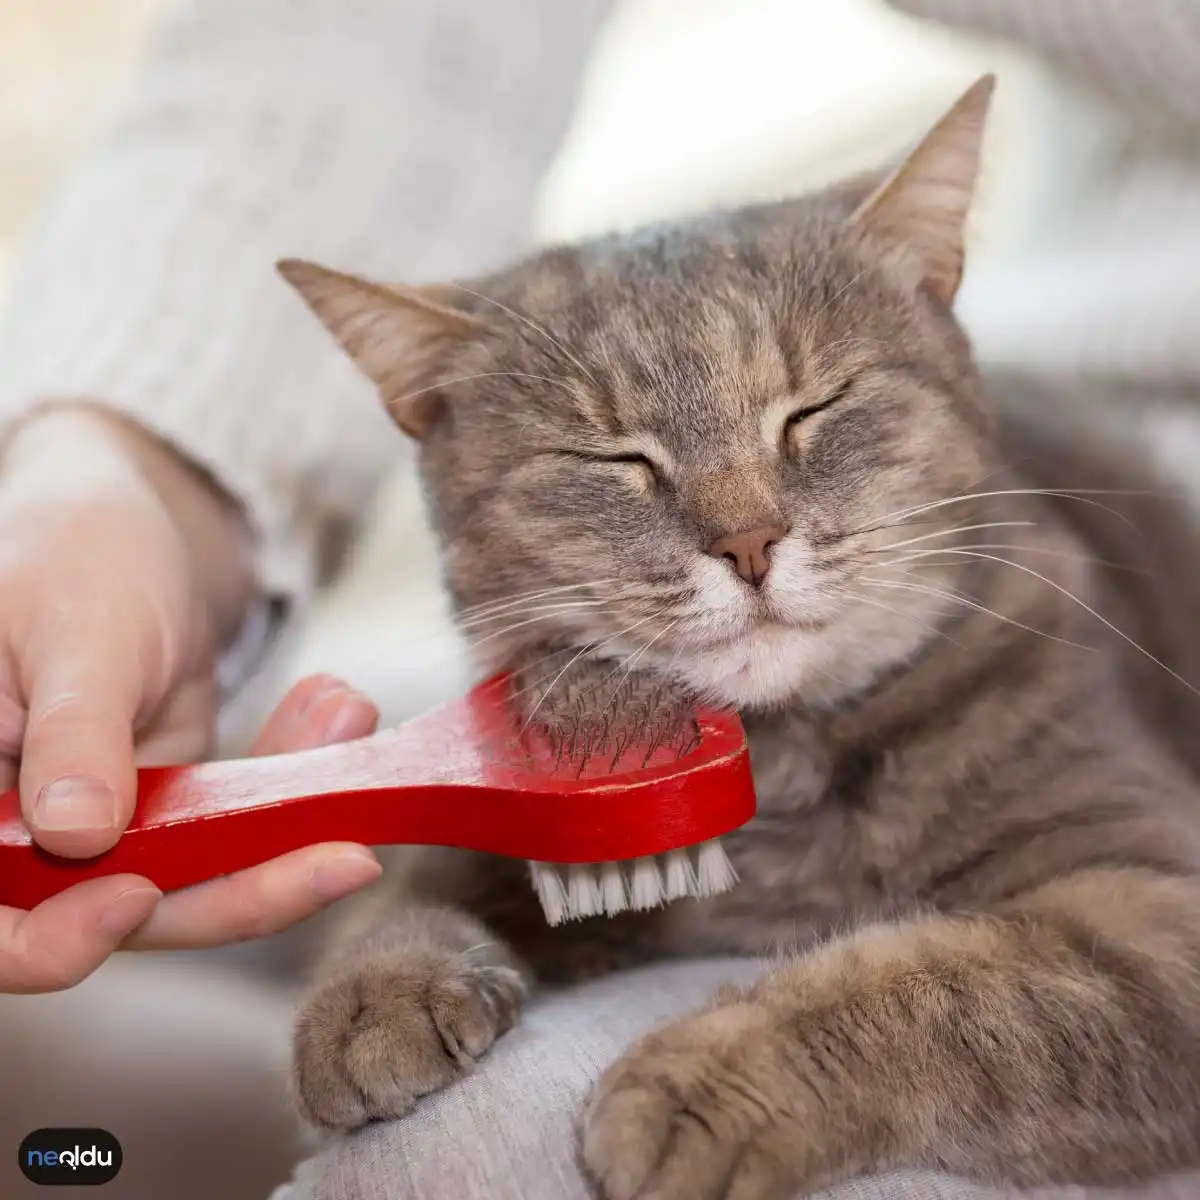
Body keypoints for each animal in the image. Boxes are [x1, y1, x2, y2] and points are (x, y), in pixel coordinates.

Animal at [276, 77, 1200, 1200]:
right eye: (615, 458)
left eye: (815, 408)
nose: (748, 542)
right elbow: (433, 870)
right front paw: (371, 989)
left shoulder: (1153, 906)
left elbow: (948, 983)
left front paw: (702, 1082)